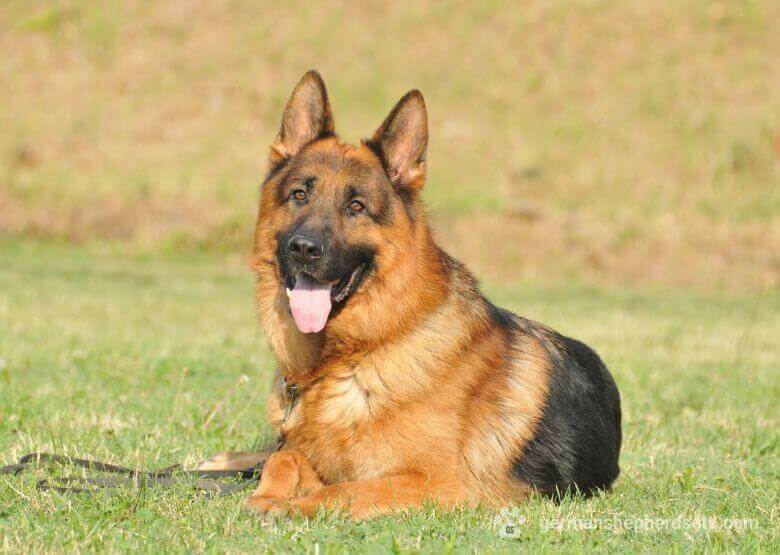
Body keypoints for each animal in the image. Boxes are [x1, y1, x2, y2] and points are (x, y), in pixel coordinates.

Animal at [235, 70, 620, 520]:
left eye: (356, 206)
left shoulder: (437, 484)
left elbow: (343, 492)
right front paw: (268, 495)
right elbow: (285, 457)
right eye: (299, 195)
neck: (359, 353)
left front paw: (289, 507)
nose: (303, 248)